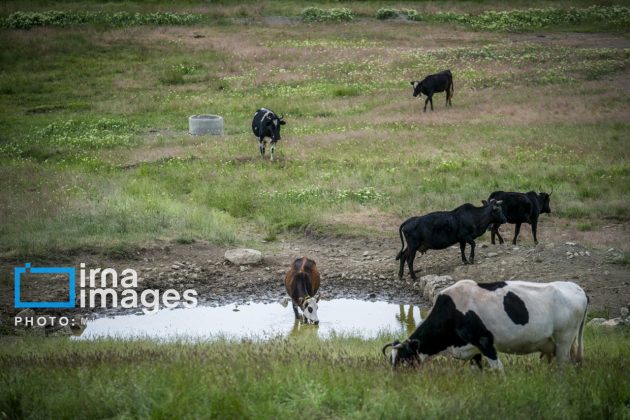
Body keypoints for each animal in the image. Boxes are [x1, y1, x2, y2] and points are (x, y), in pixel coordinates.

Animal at [382, 280, 592, 370]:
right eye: (391, 361)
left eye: (403, 360)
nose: (397, 382)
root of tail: (578, 288)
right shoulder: (473, 350)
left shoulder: (484, 342)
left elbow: (499, 370)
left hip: (564, 340)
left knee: (562, 366)